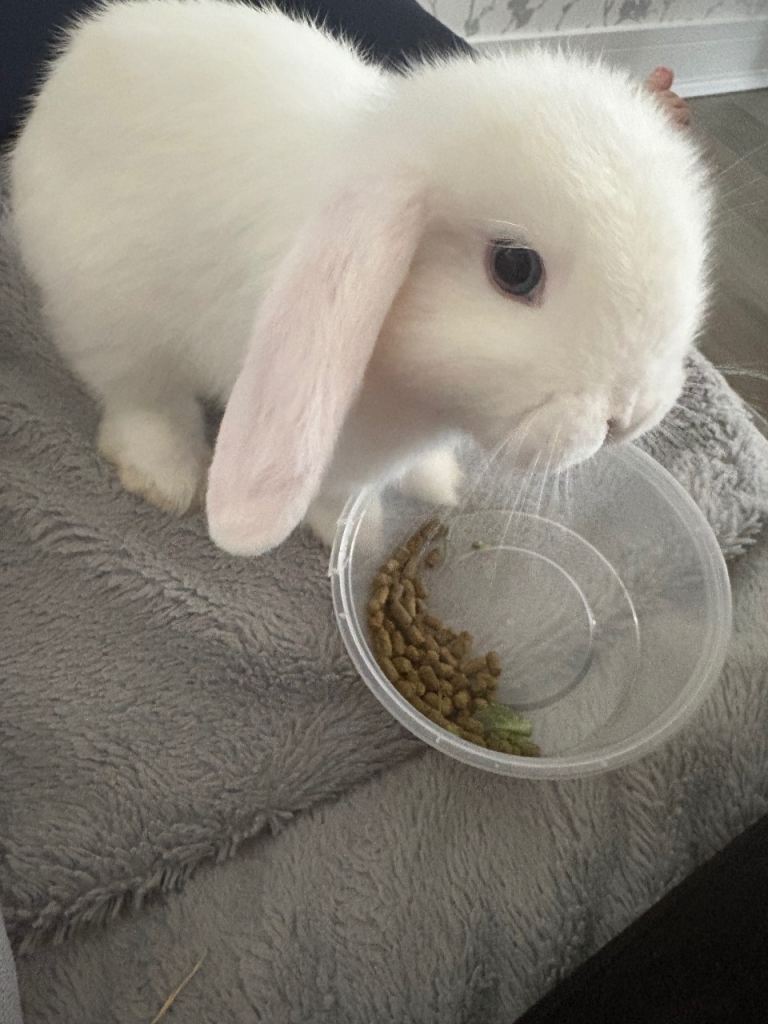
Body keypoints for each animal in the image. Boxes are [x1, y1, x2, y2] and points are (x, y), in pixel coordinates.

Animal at [10, 0, 710, 557]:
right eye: (515, 269)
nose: (631, 417)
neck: (424, 396)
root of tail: (70, 65)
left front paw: (436, 482)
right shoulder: (335, 443)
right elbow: (337, 491)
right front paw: (359, 533)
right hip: (110, 312)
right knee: (141, 397)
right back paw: (164, 478)